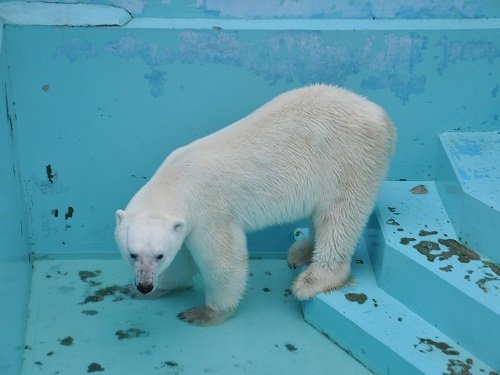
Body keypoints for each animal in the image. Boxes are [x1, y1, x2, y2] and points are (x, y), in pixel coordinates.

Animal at [115, 85, 396, 326]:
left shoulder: (209, 210)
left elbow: (223, 261)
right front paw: (148, 290)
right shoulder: (185, 222)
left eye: (159, 255)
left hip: (348, 160)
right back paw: (301, 252)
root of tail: (383, 118)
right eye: (132, 253)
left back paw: (312, 280)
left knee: (339, 216)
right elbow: (183, 258)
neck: (176, 180)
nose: (144, 285)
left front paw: (205, 313)